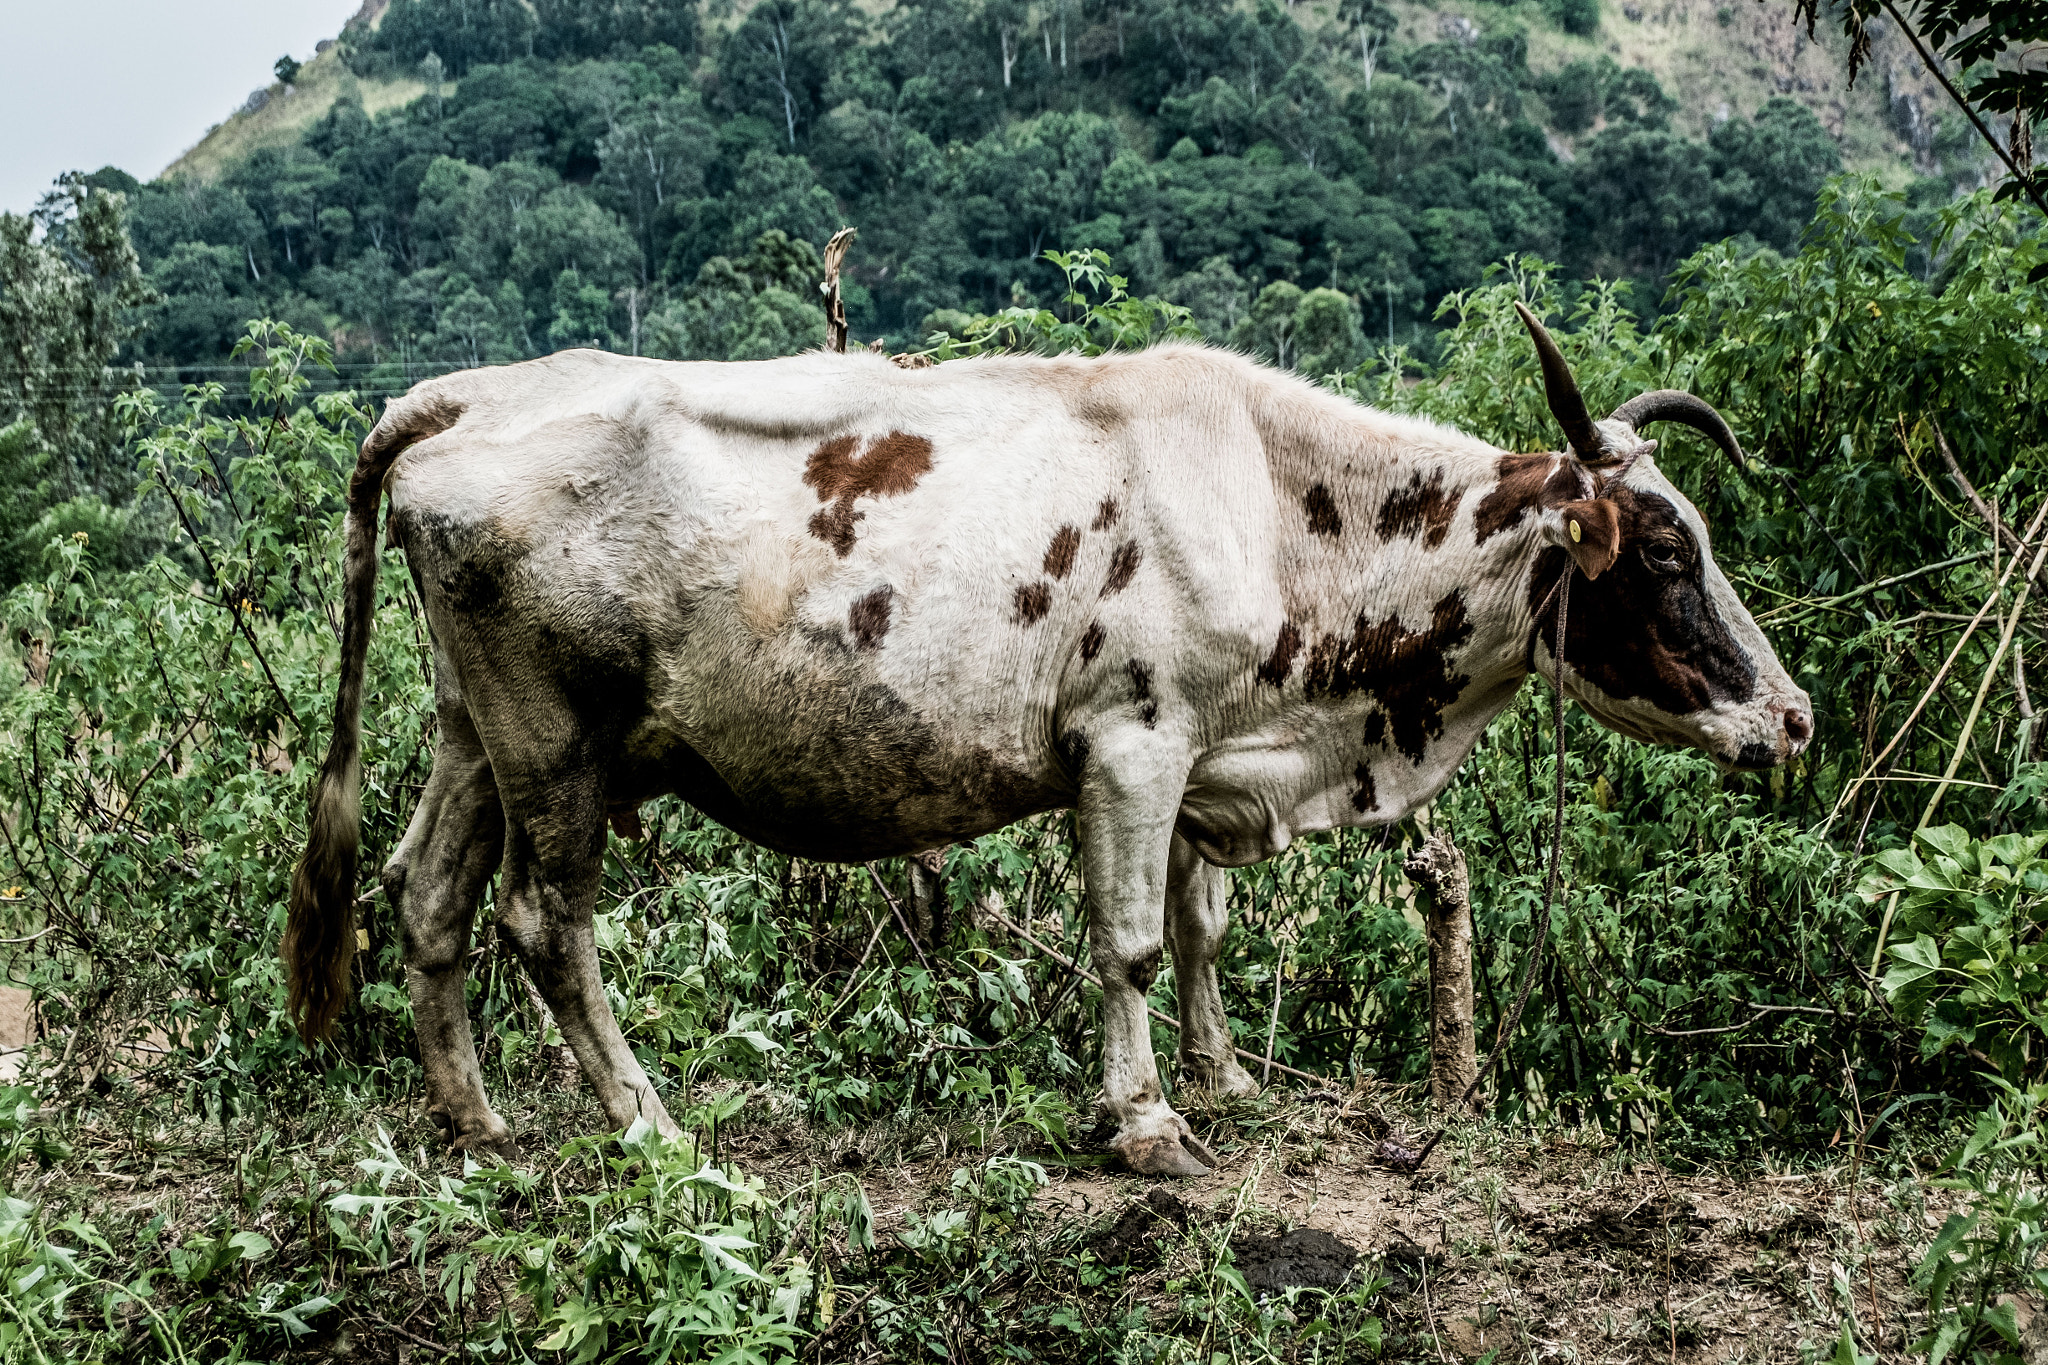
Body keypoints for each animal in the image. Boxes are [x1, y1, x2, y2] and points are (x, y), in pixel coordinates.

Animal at [285, 307, 1810, 1176]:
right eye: (1663, 551)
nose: (1791, 718)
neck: (1270, 496)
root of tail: (470, 396)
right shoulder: (1130, 741)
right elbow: (1128, 940)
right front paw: (1145, 1124)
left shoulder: (1197, 752)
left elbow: (1198, 927)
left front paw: (1222, 1079)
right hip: (556, 744)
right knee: (544, 924)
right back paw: (646, 1125)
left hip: (470, 732)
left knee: (427, 894)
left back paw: (476, 1123)